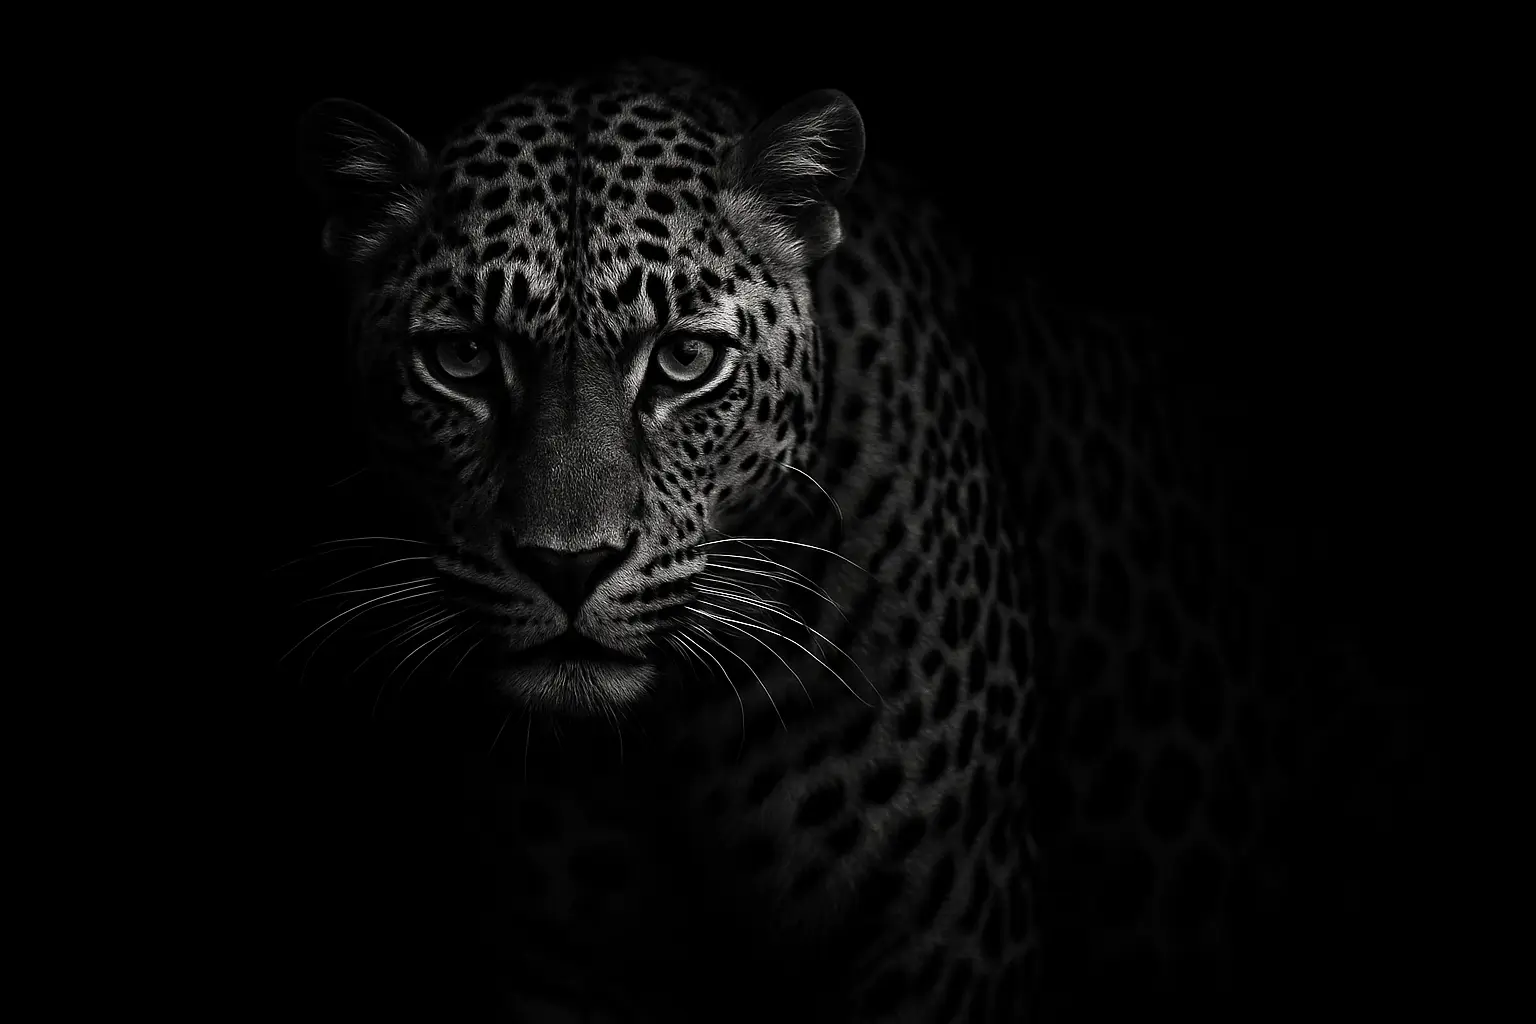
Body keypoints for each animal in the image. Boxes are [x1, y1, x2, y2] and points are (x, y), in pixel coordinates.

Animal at [292, 57, 1412, 1022]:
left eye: (685, 360)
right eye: (461, 359)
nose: (569, 564)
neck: (659, 743)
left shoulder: (944, 926)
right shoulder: (553, 958)